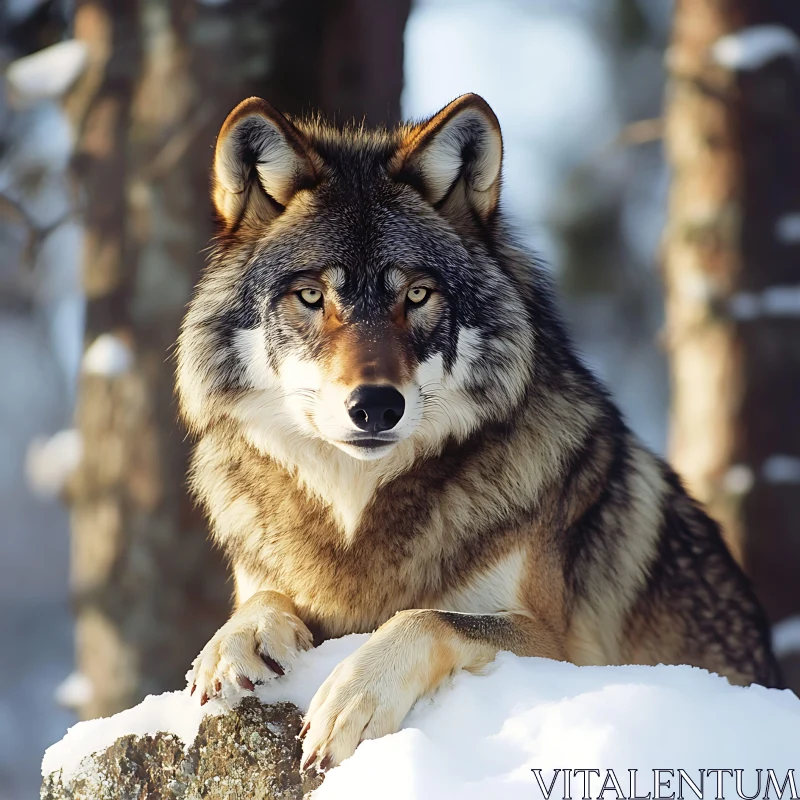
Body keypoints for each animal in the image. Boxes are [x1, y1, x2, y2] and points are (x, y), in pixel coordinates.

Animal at [177, 92, 780, 768]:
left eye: (417, 294)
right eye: (310, 296)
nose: (375, 406)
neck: (357, 511)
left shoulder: (560, 648)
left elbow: (427, 617)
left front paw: (355, 696)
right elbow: (261, 600)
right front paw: (236, 642)